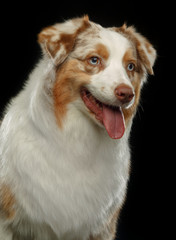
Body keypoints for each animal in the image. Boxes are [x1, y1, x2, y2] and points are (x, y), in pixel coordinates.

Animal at [0, 15, 157, 239]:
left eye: (130, 66)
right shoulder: (7, 222)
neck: (80, 141)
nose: (127, 94)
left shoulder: (102, 227)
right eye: (94, 60)